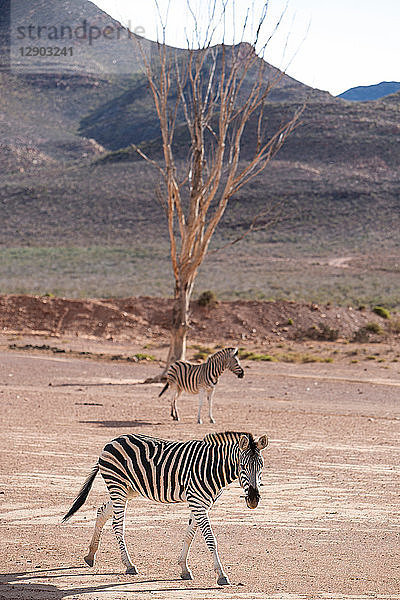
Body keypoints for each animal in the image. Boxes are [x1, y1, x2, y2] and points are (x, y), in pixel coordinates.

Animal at [62, 432, 268, 584]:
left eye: (261, 466)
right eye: (242, 466)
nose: (253, 500)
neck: (212, 468)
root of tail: (112, 441)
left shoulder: (201, 503)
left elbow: (189, 535)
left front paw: (184, 568)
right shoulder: (197, 502)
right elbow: (210, 540)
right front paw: (221, 574)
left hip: (127, 490)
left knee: (101, 511)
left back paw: (90, 555)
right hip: (118, 486)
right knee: (117, 525)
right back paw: (129, 564)